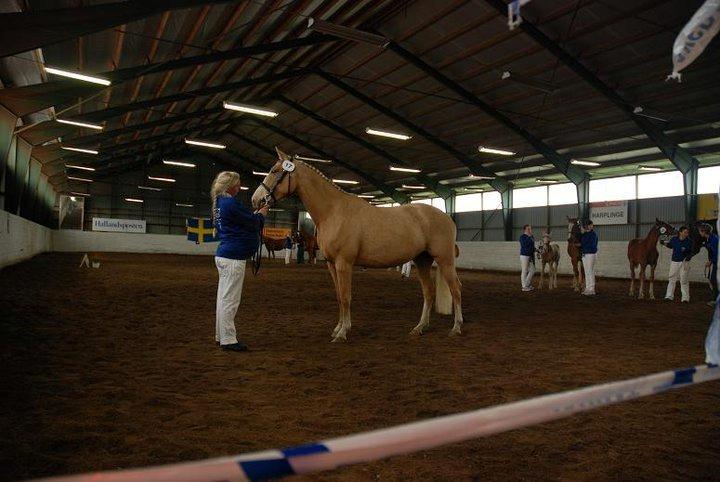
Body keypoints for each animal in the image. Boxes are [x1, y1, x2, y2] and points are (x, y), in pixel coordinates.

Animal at [253, 149, 464, 340]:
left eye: (274, 171)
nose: (256, 200)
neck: (333, 211)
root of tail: (447, 217)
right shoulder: (331, 264)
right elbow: (339, 296)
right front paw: (337, 328)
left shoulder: (344, 263)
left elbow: (346, 297)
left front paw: (342, 333)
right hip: (422, 261)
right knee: (428, 292)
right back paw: (419, 328)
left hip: (444, 259)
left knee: (455, 289)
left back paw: (456, 328)